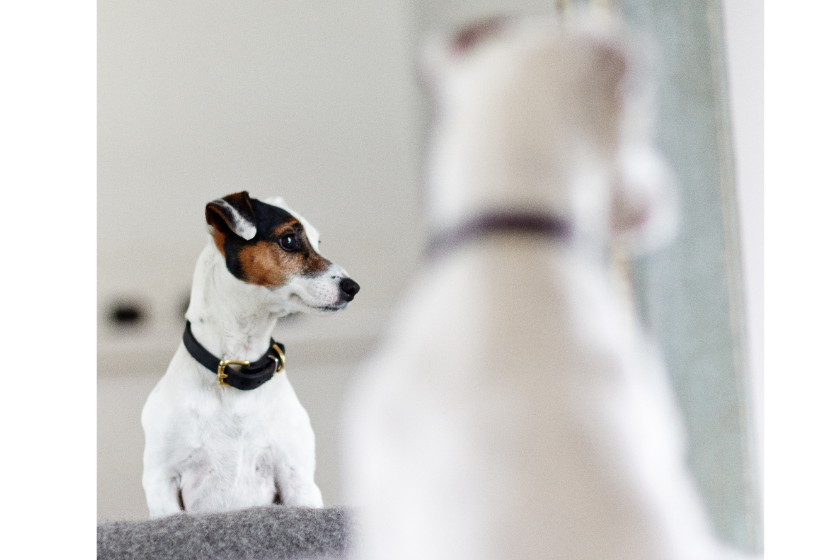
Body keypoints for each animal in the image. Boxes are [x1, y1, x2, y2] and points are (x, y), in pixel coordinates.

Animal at [142, 191, 358, 516]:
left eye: (318, 241)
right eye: (289, 240)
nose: (353, 287)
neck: (239, 368)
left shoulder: (298, 480)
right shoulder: (162, 483)